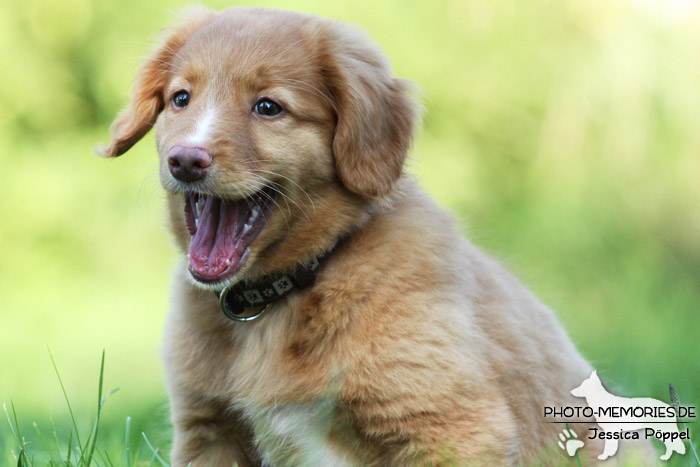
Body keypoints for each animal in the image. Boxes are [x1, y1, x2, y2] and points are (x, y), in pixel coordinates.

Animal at [97, 5, 652, 466]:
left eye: (269, 107)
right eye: (180, 99)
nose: (185, 160)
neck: (284, 296)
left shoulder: (457, 429)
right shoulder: (210, 432)